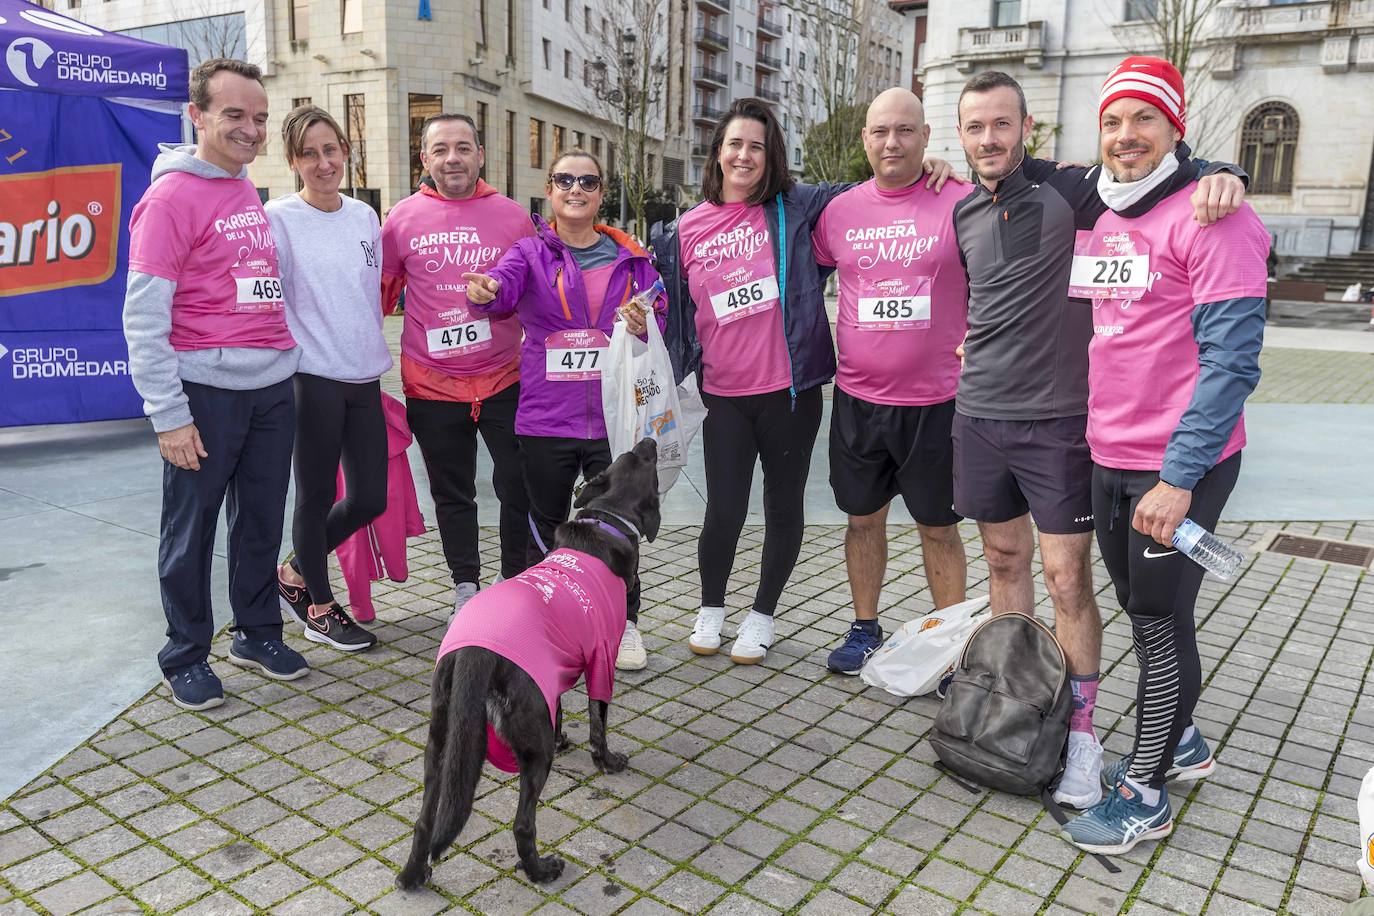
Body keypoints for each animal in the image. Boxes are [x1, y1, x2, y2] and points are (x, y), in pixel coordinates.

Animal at [398, 436, 659, 889]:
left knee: (425, 821)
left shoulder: (552, 671)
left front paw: (566, 736)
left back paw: (412, 876)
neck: (607, 520)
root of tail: (476, 655)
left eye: (630, 456)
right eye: (647, 461)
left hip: (441, 742)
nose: (649, 439)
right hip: (532, 749)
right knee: (522, 824)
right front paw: (607, 761)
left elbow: (562, 710)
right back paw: (541, 870)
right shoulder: (600, 664)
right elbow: (598, 722)